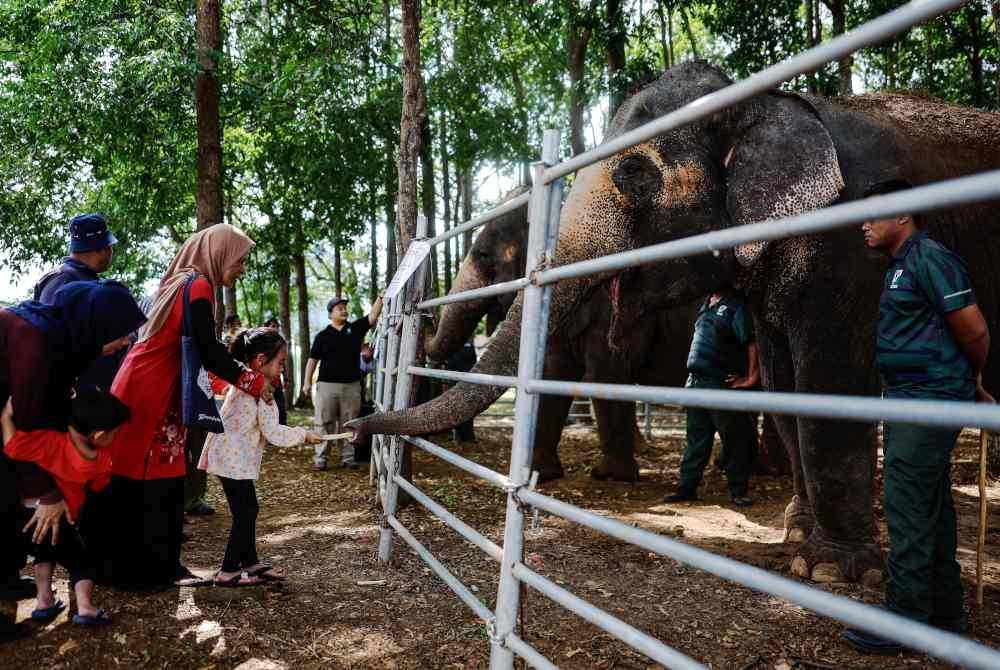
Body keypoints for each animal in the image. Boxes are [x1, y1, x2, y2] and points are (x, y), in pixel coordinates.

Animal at [426, 189, 700, 484]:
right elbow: (553, 375)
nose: (426, 316)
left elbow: (605, 375)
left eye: (484, 255)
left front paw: (610, 475)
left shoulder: (611, 307)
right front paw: (539, 473)